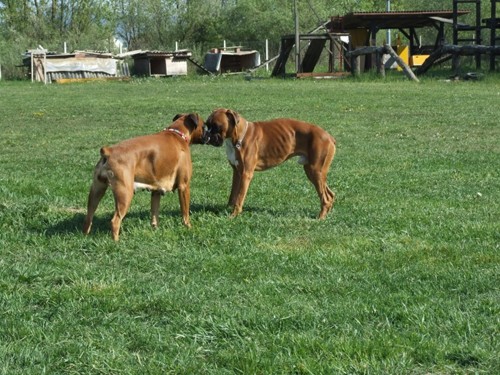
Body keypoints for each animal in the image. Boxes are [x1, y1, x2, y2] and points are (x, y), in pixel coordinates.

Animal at [83, 113, 208, 241]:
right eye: (204, 126)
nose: (208, 134)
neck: (178, 133)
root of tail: (108, 151)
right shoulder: (184, 186)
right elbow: (185, 212)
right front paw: (188, 227)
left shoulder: (156, 191)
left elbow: (154, 213)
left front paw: (155, 229)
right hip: (125, 193)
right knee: (115, 221)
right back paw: (116, 242)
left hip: (97, 190)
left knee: (89, 215)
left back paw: (85, 236)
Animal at [205, 108, 338, 219]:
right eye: (207, 125)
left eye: (216, 126)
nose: (206, 136)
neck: (238, 137)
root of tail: (329, 136)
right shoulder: (237, 173)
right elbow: (233, 194)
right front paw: (227, 209)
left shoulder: (246, 174)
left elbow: (239, 197)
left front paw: (234, 214)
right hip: (313, 172)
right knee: (330, 195)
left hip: (315, 171)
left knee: (325, 197)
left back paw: (320, 218)